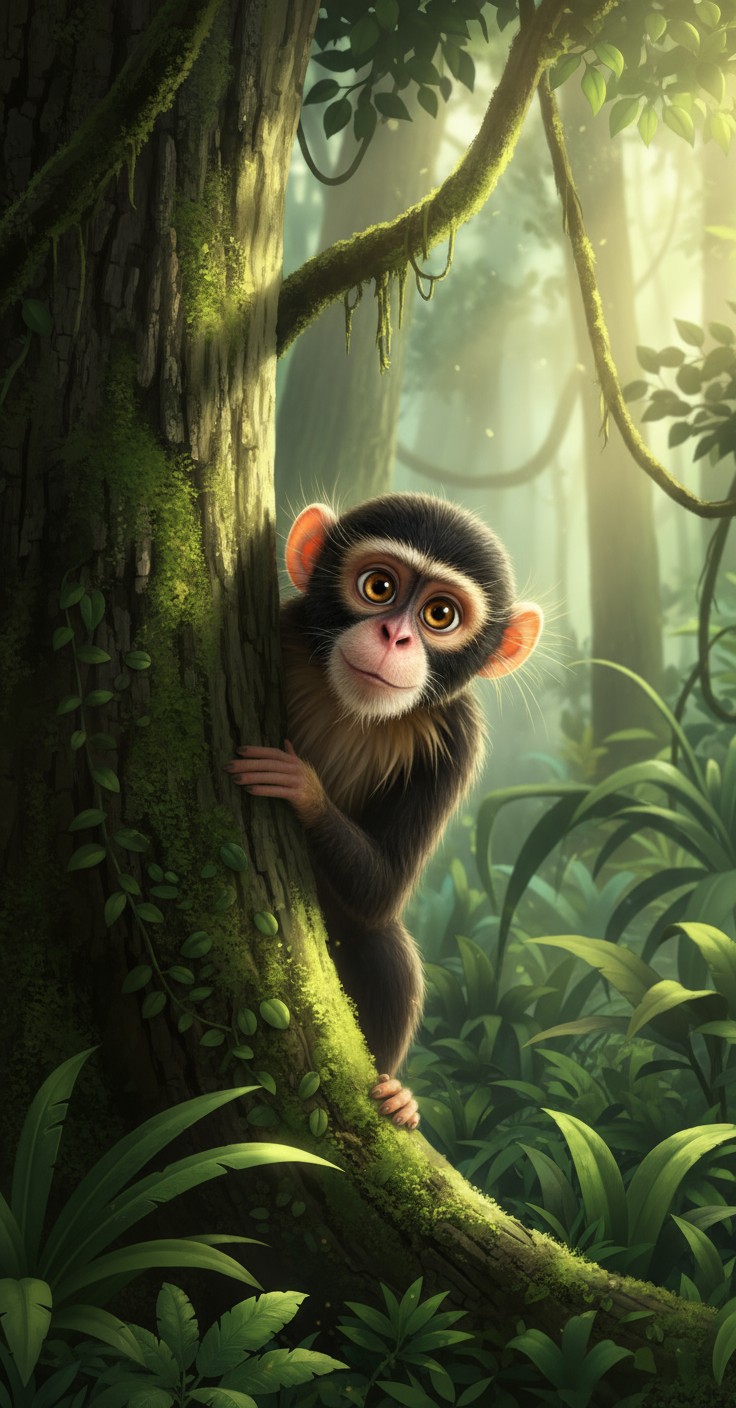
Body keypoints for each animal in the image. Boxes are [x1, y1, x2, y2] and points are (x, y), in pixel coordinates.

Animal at [227, 494, 542, 1131]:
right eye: (379, 586)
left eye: (440, 614)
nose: (394, 634)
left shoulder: (460, 740)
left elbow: (385, 892)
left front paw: (301, 786)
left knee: (384, 947)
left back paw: (395, 1093)